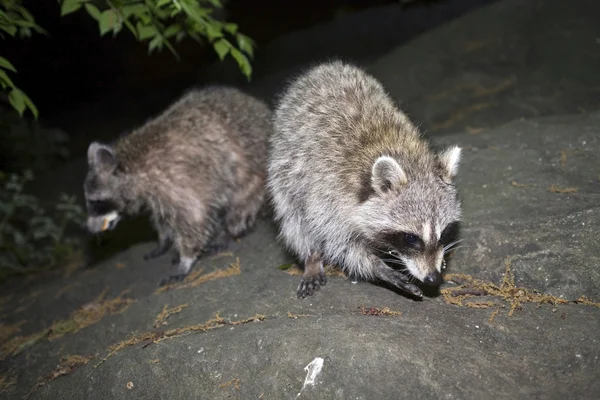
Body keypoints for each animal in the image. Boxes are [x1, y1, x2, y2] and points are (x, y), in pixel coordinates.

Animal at [84, 85, 272, 284]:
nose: (89, 228)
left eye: (95, 203)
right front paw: (164, 239)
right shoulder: (157, 193)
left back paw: (228, 232)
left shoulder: (175, 179)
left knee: (241, 204)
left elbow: (195, 215)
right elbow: (162, 217)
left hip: (252, 170)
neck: (131, 164)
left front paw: (185, 260)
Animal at [268, 61, 464, 298]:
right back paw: (311, 257)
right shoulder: (326, 195)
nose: (433, 278)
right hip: (284, 167)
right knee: (294, 218)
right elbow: (340, 244)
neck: (403, 154)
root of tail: (323, 67)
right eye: (411, 238)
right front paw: (377, 267)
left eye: (444, 234)